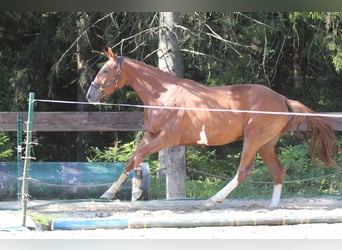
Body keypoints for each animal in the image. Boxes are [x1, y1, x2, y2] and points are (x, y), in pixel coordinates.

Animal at [85, 47, 336, 207]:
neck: (163, 95)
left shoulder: (166, 138)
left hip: (253, 139)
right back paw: (272, 206)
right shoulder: (151, 135)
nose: (90, 95)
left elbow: (137, 157)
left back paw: (213, 200)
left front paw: (123, 192)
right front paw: (109, 193)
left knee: (244, 171)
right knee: (278, 170)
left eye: (105, 70)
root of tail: (282, 99)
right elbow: (131, 160)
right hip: (266, 144)